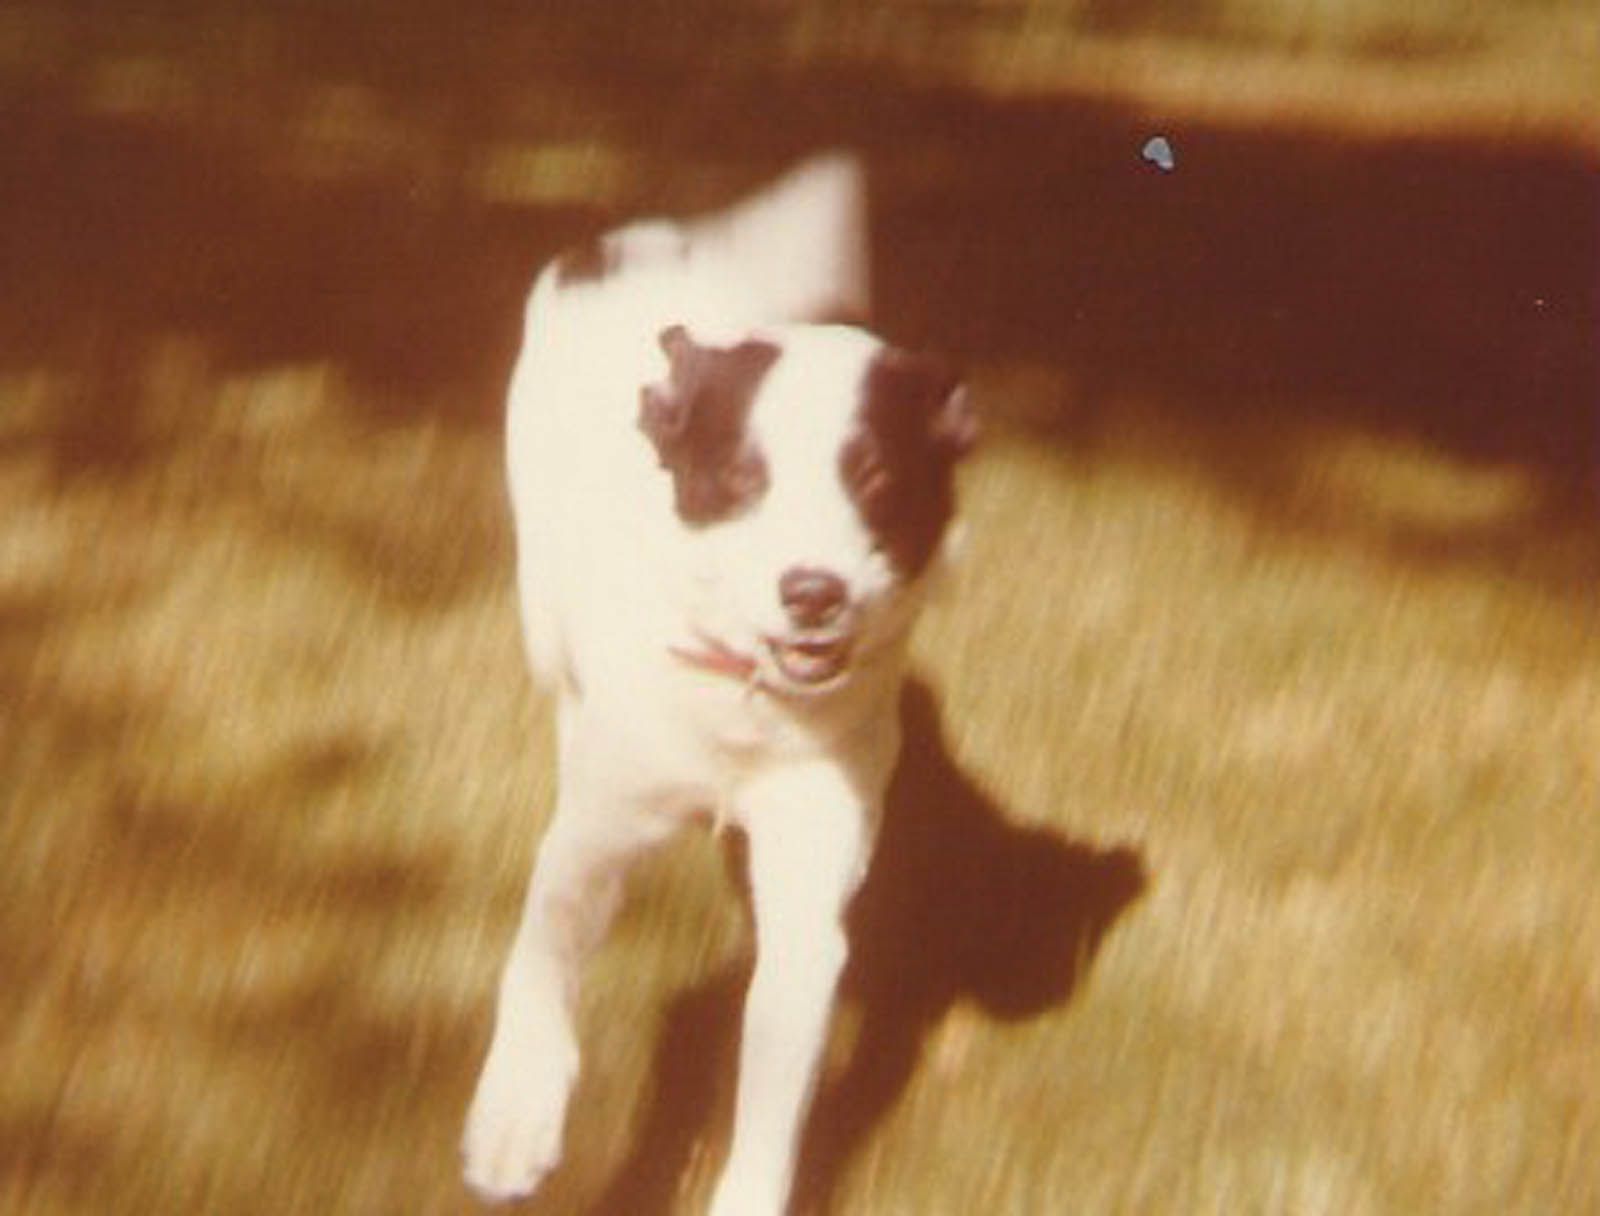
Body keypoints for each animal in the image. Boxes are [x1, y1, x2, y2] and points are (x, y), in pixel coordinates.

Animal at [464, 154, 979, 1216]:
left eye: (877, 480)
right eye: (741, 477)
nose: (813, 591)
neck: (741, 705)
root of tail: (653, 242)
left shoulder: (812, 874)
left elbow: (778, 1070)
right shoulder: (598, 836)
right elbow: (542, 956)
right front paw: (515, 1117)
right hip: (542, 609)